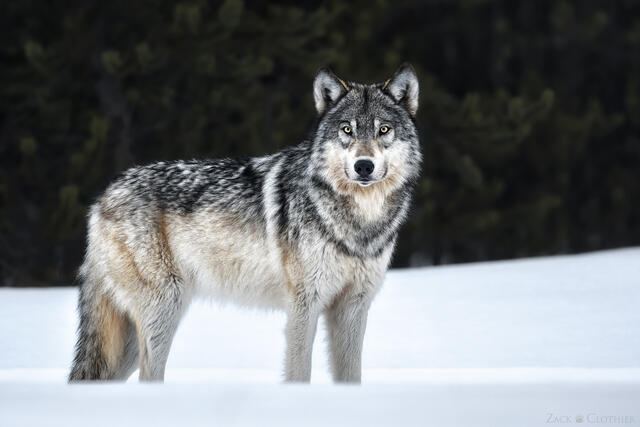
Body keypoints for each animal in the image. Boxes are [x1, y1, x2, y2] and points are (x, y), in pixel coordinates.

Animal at [69, 64, 421, 383]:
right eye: (347, 130)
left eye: (383, 130)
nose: (364, 166)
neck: (359, 222)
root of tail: (103, 197)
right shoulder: (304, 305)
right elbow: (299, 373)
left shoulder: (353, 307)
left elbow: (351, 376)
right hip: (163, 312)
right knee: (149, 376)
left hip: (130, 340)